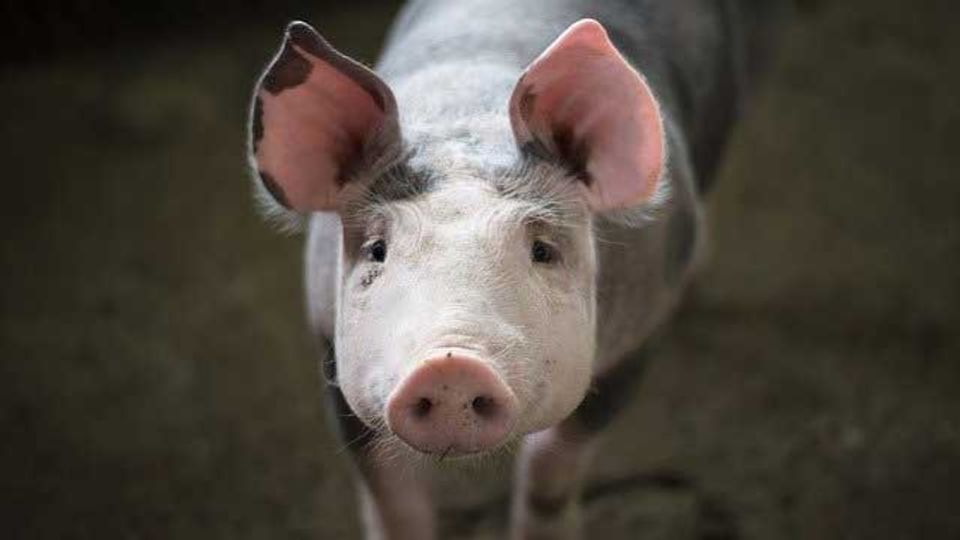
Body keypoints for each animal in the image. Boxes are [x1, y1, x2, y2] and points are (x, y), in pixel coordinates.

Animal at [247, 0, 785, 537]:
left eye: (542, 250)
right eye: (378, 250)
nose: (450, 365)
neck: (468, 112)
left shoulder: (637, 336)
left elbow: (550, 472)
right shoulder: (331, 347)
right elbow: (390, 496)